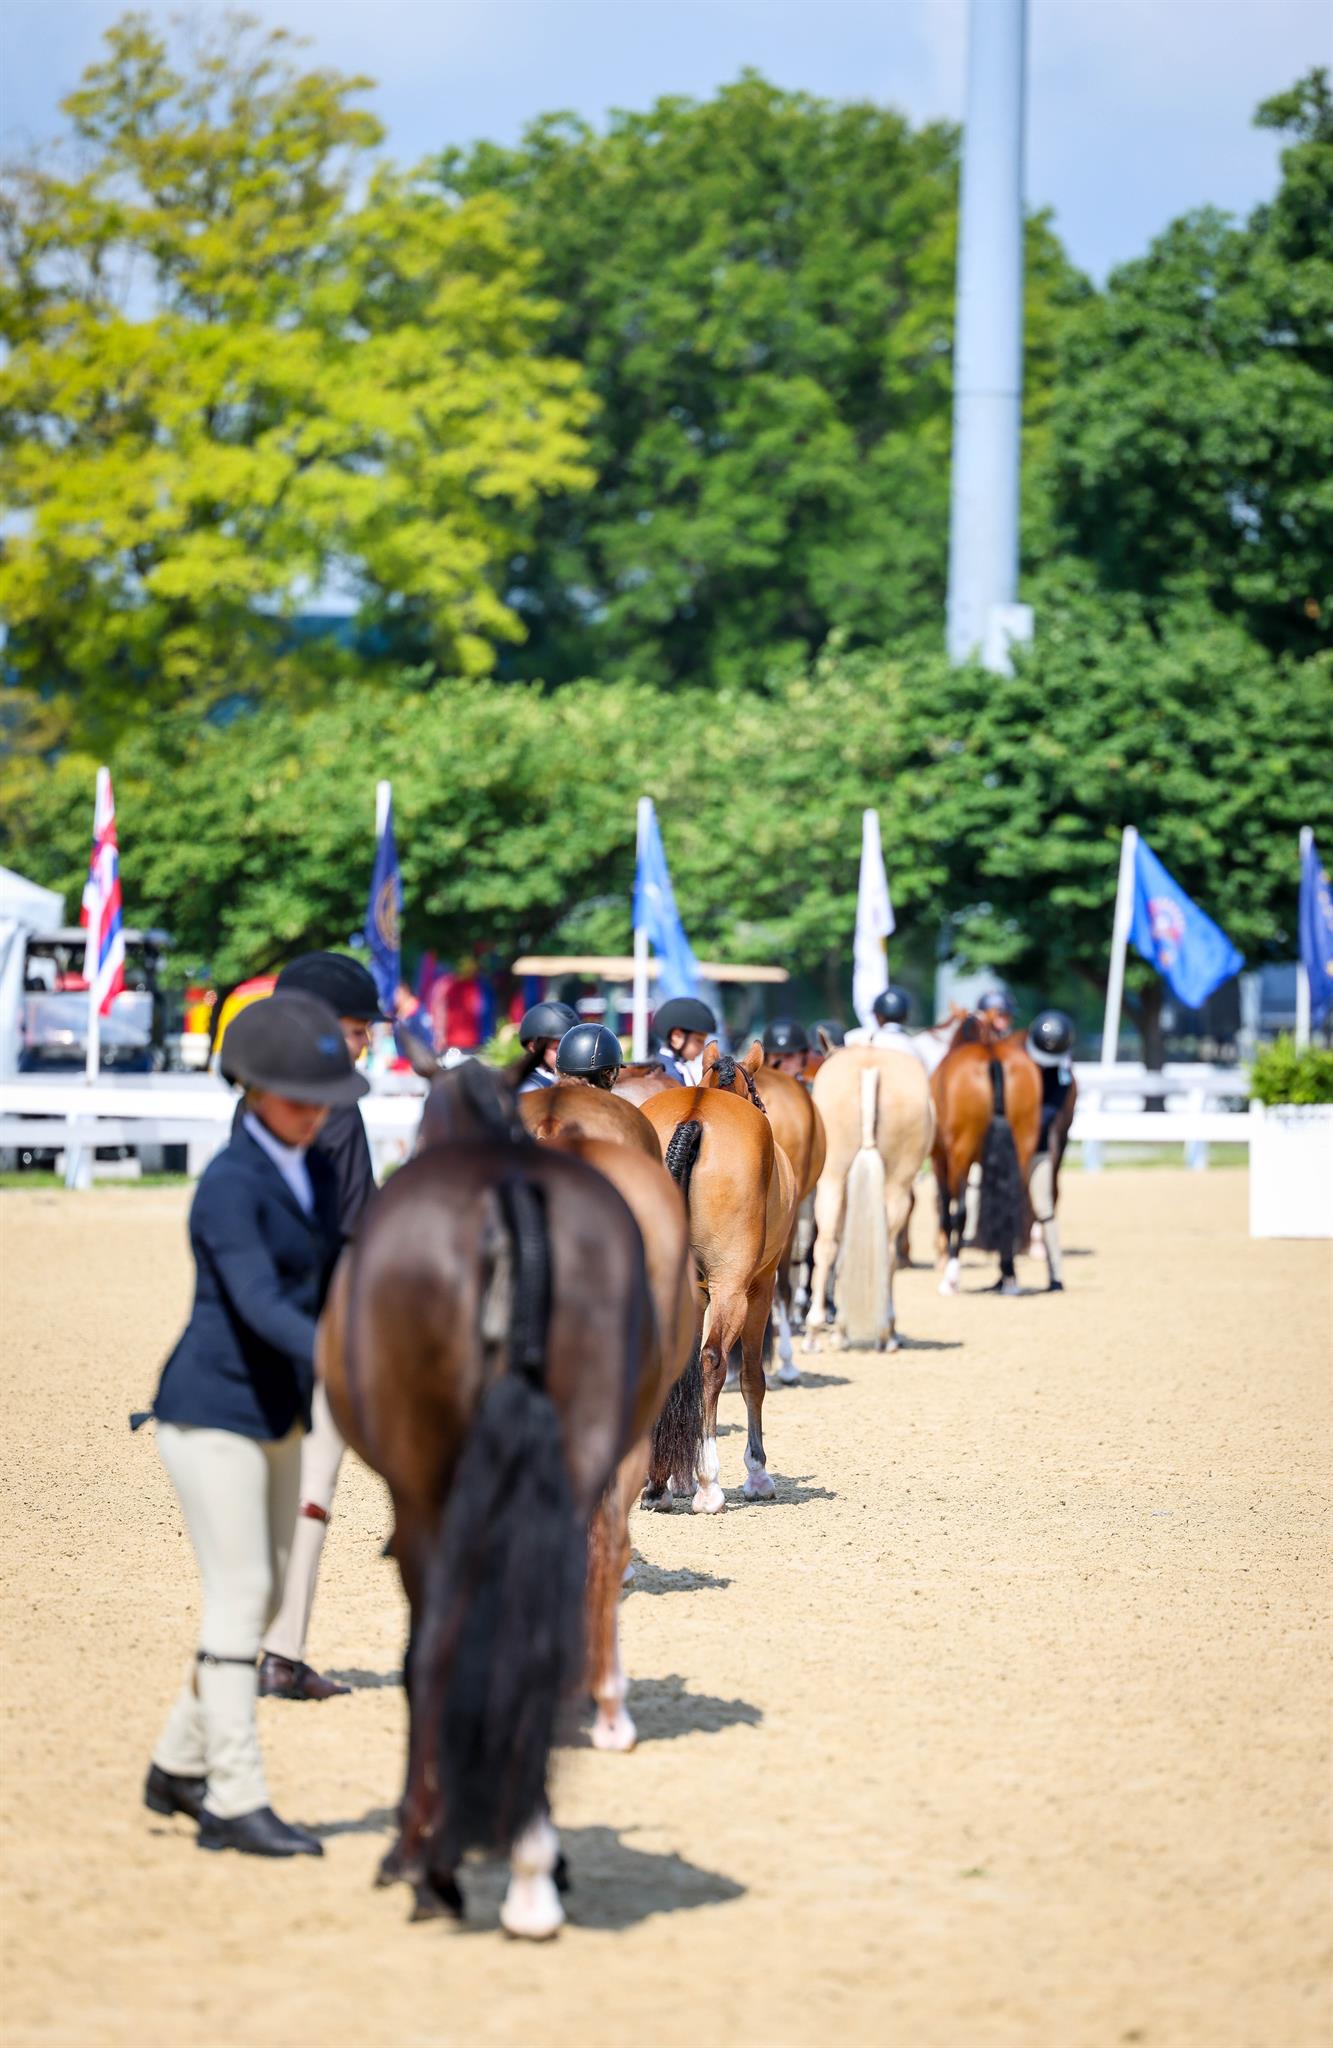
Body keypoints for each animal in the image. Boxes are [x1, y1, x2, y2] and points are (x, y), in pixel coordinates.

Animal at [319, 1057, 658, 1939]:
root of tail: (507, 1194)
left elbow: (424, 1655)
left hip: (424, 1495)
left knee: (435, 1648)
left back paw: (428, 1861)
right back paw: (534, 1864)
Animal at [640, 1056, 797, 1509]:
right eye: (758, 1096)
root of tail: (695, 1114)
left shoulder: (694, 1293)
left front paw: (674, 1479)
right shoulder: (760, 1286)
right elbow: (751, 1378)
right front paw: (757, 1474)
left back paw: (657, 1485)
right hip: (734, 1289)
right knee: (713, 1360)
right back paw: (710, 1484)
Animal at [806, 1046, 935, 1351]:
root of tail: (870, 1066)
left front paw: (840, 1331)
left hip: (832, 1180)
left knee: (826, 1247)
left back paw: (815, 1331)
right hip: (896, 1187)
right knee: (887, 1251)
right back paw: (887, 1332)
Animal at [932, 1031, 1042, 1296]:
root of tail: (992, 1054)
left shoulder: (940, 1160)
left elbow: (946, 1213)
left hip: (960, 1155)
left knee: (960, 1213)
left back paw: (951, 1279)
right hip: (1022, 1148)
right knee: (1015, 1207)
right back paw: (1008, 1278)